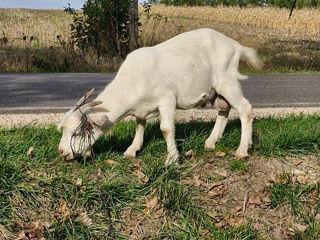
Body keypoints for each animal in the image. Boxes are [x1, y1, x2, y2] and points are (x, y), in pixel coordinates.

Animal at [57, 28, 262, 165]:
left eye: (77, 132)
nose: (61, 152)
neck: (131, 82)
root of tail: (236, 45)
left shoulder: (167, 99)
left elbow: (166, 129)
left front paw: (172, 158)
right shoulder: (141, 108)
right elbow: (139, 125)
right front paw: (132, 149)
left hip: (227, 81)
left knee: (245, 109)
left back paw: (242, 150)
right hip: (215, 90)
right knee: (224, 109)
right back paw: (214, 142)